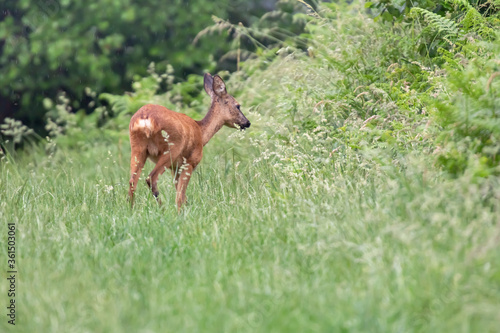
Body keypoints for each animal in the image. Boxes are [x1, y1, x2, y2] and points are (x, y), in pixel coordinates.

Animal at [128, 73, 250, 210]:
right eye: (238, 105)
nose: (247, 122)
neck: (201, 132)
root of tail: (145, 118)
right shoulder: (190, 162)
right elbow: (180, 196)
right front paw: (181, 212)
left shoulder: (175, 167)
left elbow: (180, 193)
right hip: (171, 147)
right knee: (151, 178)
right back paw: (162, 208)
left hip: (137, 147)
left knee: (132, 181)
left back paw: (130, 209)